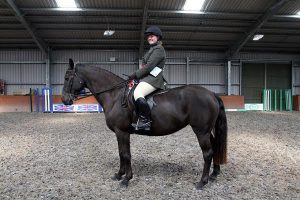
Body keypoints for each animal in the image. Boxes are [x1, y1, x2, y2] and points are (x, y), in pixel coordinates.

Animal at [62, 58, 229, 189]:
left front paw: (126, 179)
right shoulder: (120, 133)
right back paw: (214, 174)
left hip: (201, 131)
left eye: (67, 78)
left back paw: (202, 182)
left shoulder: (122, 132)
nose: (65, 100)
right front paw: (119, 174)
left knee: (207, 153)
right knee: (214, 147)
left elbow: (126, 154)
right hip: (207, 131)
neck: (114, 96)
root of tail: (211, 93)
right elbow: (121, 153)